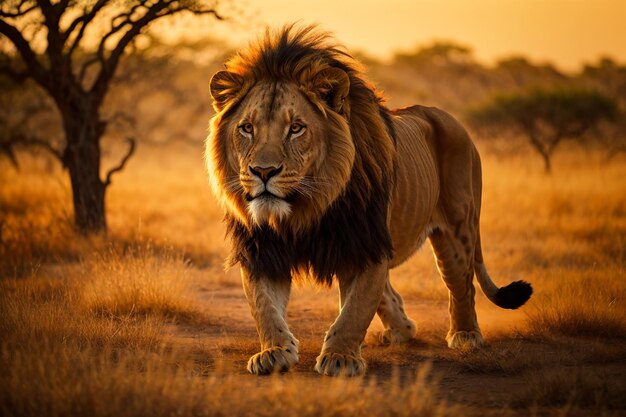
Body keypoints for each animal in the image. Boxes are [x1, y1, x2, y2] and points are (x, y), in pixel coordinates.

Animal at [205, 26, 532, 376]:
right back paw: (401, 329)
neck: (305, 209)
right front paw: (274, 352)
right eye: (247, 128)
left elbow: (356, 308)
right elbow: (263, 306)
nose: (263, 171)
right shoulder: (262, 250)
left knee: (462, 284)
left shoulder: (363, 243)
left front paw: (340, 358)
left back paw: (466, 335)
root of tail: (452, 120)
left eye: (296, 128)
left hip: (457, 229)